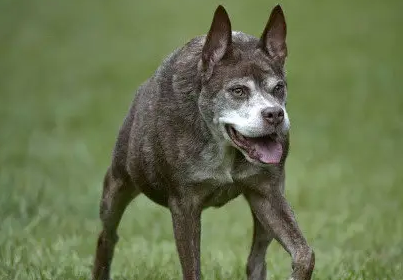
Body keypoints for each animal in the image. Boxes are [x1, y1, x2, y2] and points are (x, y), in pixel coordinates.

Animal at [92, 4, 316, 280]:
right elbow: (192, 269)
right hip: (117, 185)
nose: (275, 114)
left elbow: (303, 253)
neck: (222, 145)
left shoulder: (267, 193)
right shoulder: (184, 206)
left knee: (257, 256)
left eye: (278, 88)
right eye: (238, 91)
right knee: (107, 235)